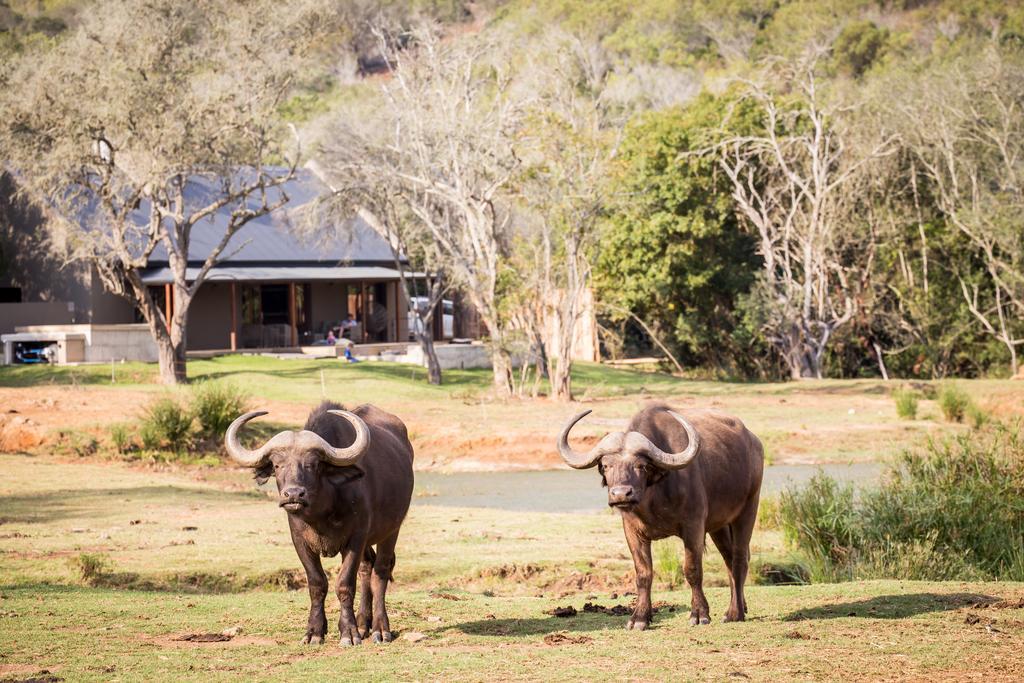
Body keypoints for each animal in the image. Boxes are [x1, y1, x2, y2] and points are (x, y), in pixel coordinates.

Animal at [226, 403, 413, 651]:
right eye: (276, 465)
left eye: (313, 464)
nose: (293, 494)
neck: (322, 512)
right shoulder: (300, 541)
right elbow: (317, 583)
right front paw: (315, 631)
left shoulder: (355, 538)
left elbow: (344, 584)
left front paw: (349, 633)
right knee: (366, 568)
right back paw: (364, 623)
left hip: (392, 530)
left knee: (380, 570)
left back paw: (380, 629)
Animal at [561, 403, 761, 634]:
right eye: (606, 465)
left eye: (641, 465)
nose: (621, 494)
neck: (653, 497)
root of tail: (753, 441)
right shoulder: (632, 531)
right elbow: (643, 573)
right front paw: (639, 618)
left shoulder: (693, 526)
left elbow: (692, 570)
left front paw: (699, 614)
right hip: (718, 525)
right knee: (729, 558)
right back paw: (738, 607)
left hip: (748, 508)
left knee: (739, 557)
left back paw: (735, 613)